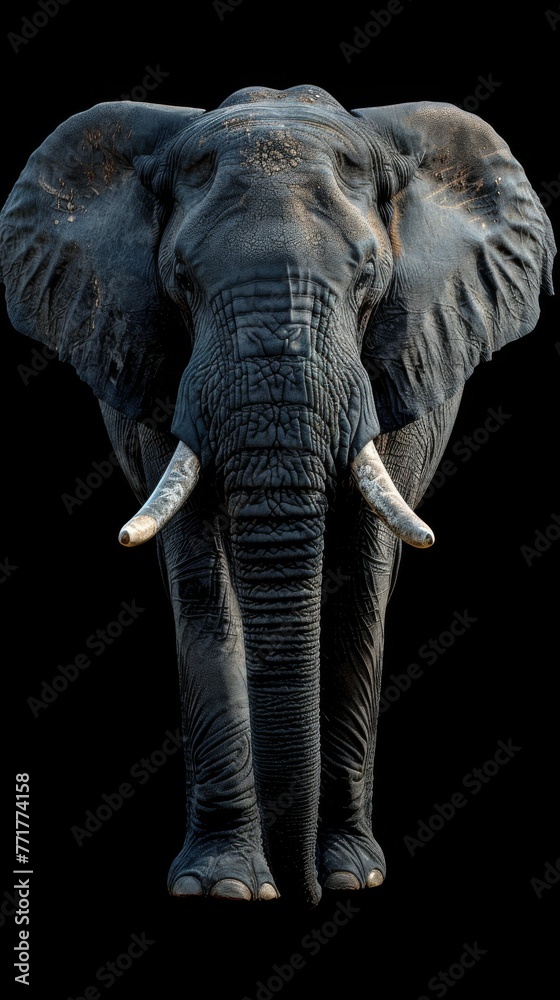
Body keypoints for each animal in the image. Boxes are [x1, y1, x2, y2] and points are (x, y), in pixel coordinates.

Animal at [0, 84, 554, 909]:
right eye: (180, 280)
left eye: (368, 277)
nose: (305, 896)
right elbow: (202, 583)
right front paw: (226, 888)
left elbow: (363, 583)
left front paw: (353, 875)